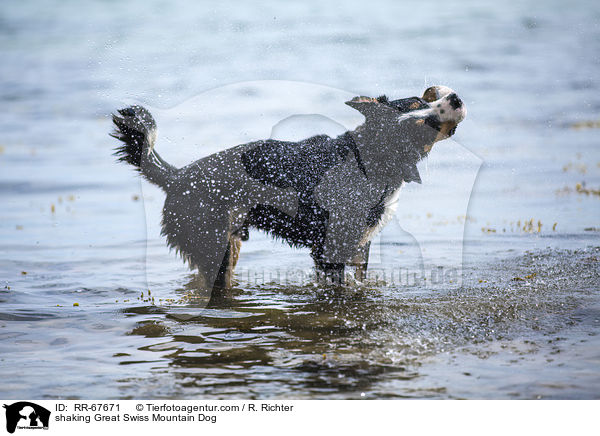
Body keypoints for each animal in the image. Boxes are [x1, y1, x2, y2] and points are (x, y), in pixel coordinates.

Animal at [113, 85, 468, 290]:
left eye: (423, 101)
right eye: (423, 116)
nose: (455, 97)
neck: (369, 160)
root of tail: (177, 176)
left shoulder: (360, 246)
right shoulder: (331, 249)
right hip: (215, 248)